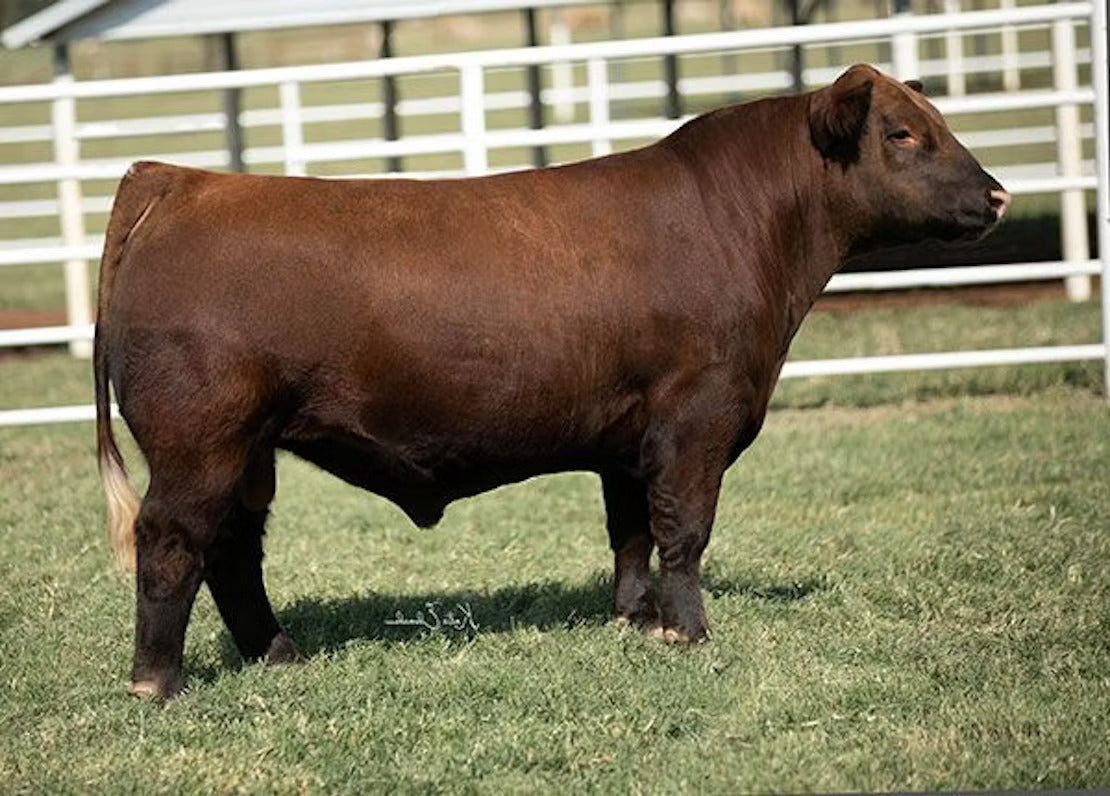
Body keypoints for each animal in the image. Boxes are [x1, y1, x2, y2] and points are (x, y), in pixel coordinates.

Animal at [94, 64, 1010, 698]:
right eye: (902, 133)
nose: (998, 194)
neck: (742, 224)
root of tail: (179, 179)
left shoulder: (628, 439)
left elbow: (631, 532)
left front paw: (637, 622)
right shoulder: (697, 418)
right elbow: (685, 530)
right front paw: (690, 633)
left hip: (248, 449)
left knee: (233, 547)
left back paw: (280, 655)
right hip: (201, 441)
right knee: (173, 539)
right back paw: (157, 682)